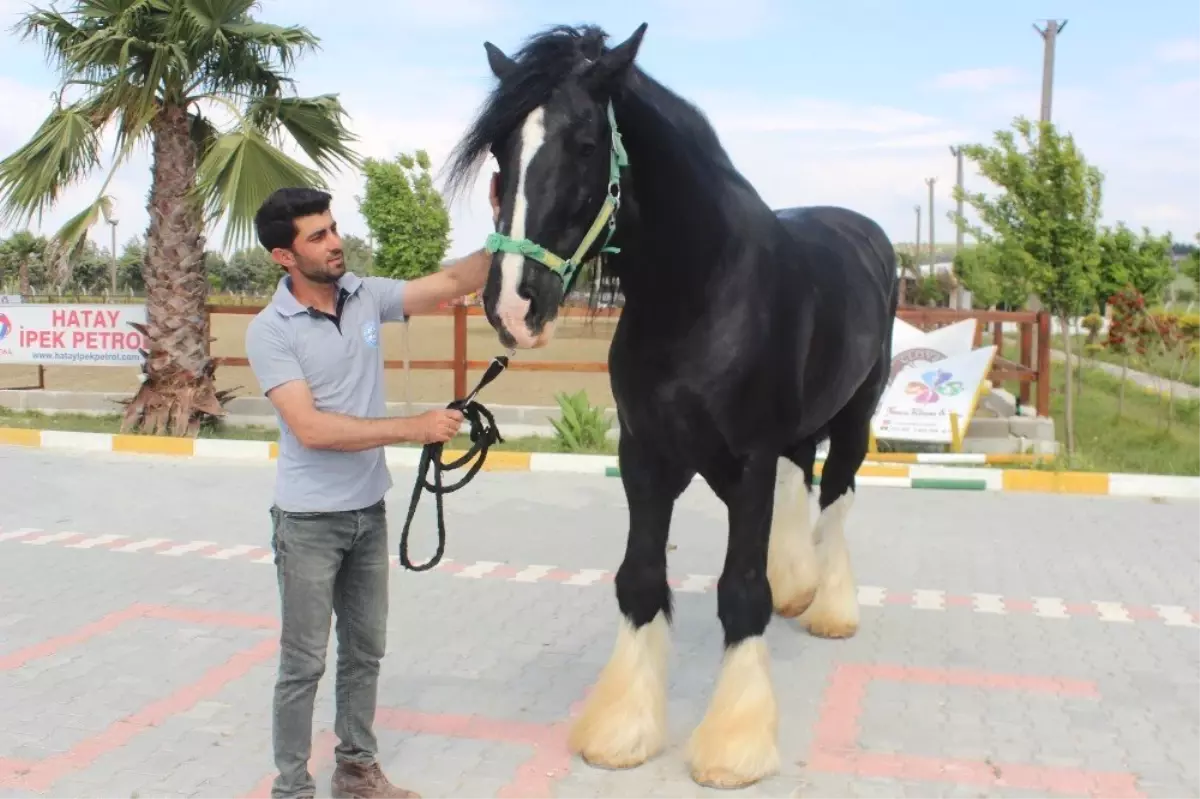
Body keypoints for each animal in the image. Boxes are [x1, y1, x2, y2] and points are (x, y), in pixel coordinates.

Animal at [446, 21, 897, 787]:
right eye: (503, 150)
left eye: (586, 144)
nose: (512, 306)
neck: (701, 290)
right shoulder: (645, 454)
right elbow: (639, 580)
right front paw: (622, 729)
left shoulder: (748, 458)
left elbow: (740, 590)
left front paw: (734, 745)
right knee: (802, 482)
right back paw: (799, 587)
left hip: (855, 417)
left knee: (836, 496)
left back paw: (832, 607)